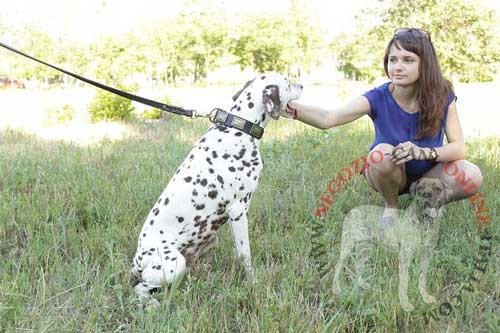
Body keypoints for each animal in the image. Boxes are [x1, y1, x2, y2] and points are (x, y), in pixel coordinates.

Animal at [132, 72, 300, 304]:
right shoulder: (239, 212)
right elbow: (245, 255)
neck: (239, 128)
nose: (302, 85)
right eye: (288, 82)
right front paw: (253, 283)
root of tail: (138, 261)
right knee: (140, 289)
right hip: (174, 263)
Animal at [332, 178, 450, 310]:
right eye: (420, 188)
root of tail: (352, 210)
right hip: (348, 246)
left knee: (358, 264)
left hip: (366, 248)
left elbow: (422, 278)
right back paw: (336, 288)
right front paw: (405, 304)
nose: (426, 194)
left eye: (438, 188)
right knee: (338, 265)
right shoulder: (405, 256)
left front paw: (425, 297)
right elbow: (404, 281)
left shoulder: (426, 255)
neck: (424, 223)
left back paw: (362, 284)